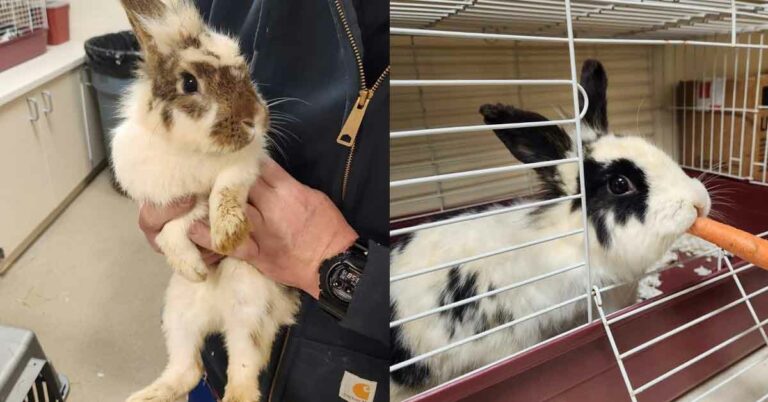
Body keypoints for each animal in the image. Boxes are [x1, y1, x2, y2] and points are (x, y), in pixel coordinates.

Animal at [111, 1, 299, 401]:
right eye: (189, 83)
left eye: (243, 67)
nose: (255, 119)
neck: (193, 150)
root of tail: (216, 317)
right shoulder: (167, 200)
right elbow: (171, 227)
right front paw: (194, 268)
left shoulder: (244, 167)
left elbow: (221, 193)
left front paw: (227, 234)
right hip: (177, 313)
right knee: (188, 368)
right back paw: (146, 395)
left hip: (250, 305)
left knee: (244, 370)